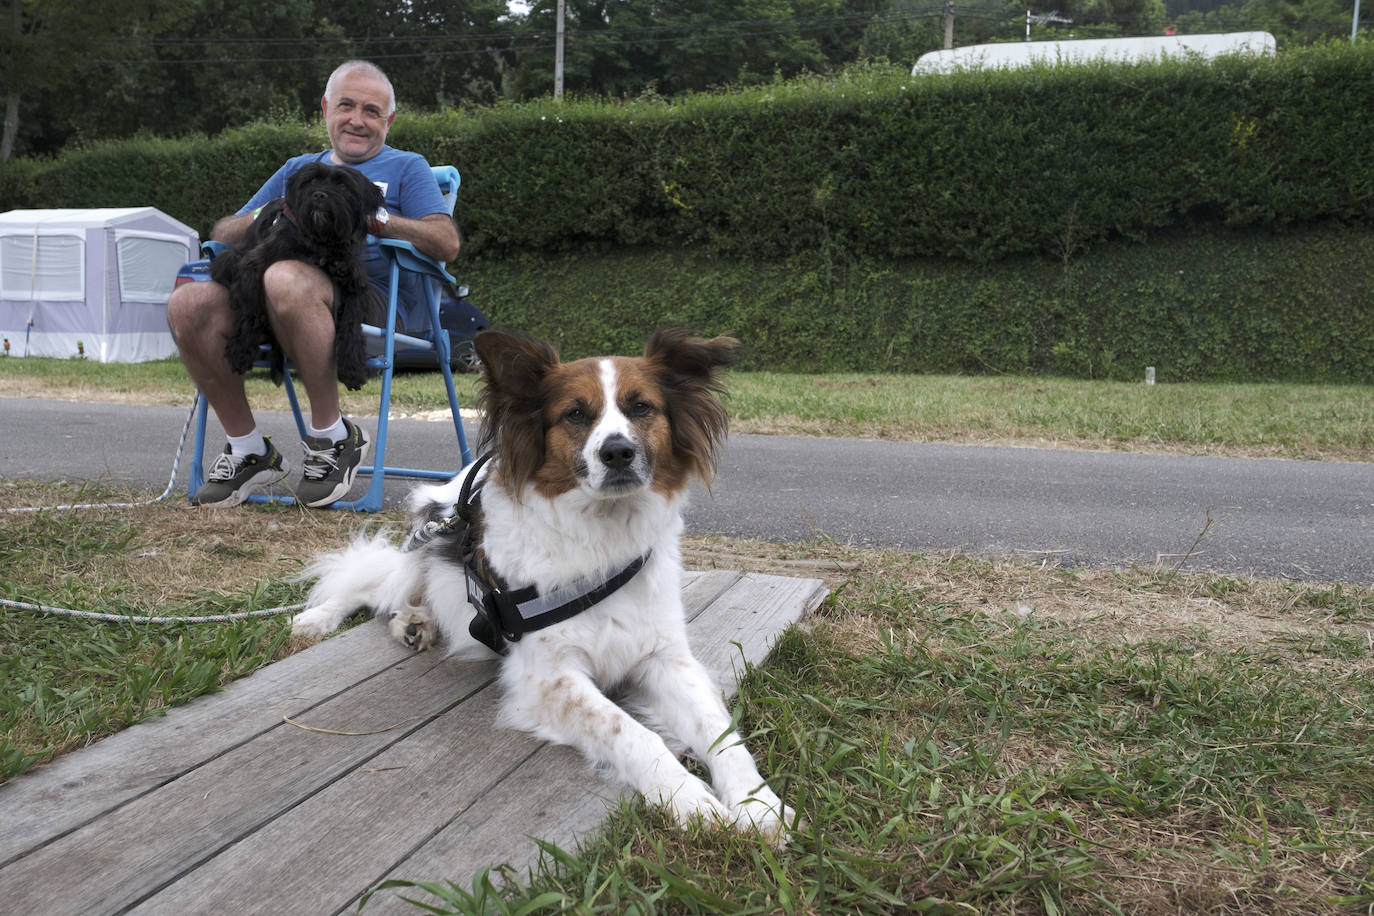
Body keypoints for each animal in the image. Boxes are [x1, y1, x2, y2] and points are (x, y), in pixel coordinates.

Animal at [295, 328, 802, 845]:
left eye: (642, 407)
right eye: (575, 414)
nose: (617, 452)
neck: (602, 535)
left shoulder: (664, 657)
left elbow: (721, 732)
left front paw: (759, 806)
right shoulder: (549, 679)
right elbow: (632, 733)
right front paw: (692, 802)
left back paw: (416, 625)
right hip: (423, 551)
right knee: (372, 585)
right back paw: (321, 619)